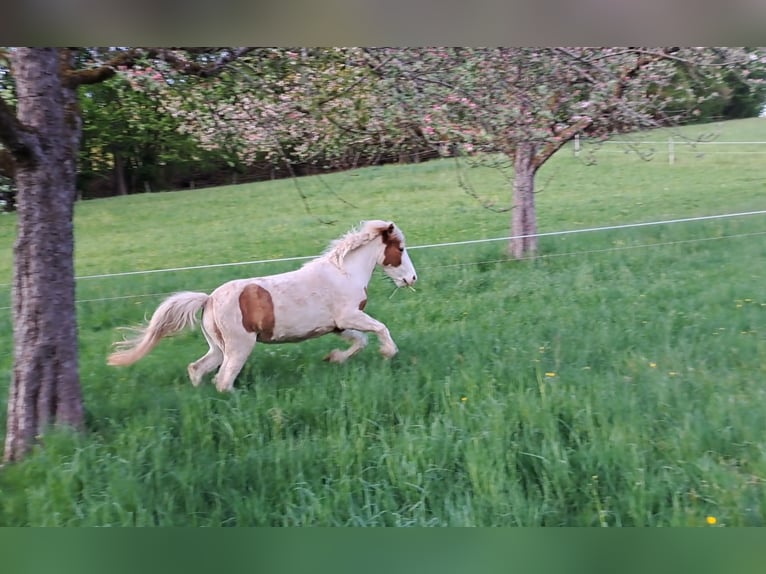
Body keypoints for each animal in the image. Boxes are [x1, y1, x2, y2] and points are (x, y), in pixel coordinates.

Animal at [107, 220, 418, 392]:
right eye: (400, 249)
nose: (412, 278)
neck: (344, 274)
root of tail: (208, 300)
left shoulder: (337, 326)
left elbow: (360, 342)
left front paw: (334, 358)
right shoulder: (350, 316)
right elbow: (380, 329)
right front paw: (388, 352)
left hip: (218, 347)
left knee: (197, 369)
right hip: (239, 347)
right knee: (223, 380)